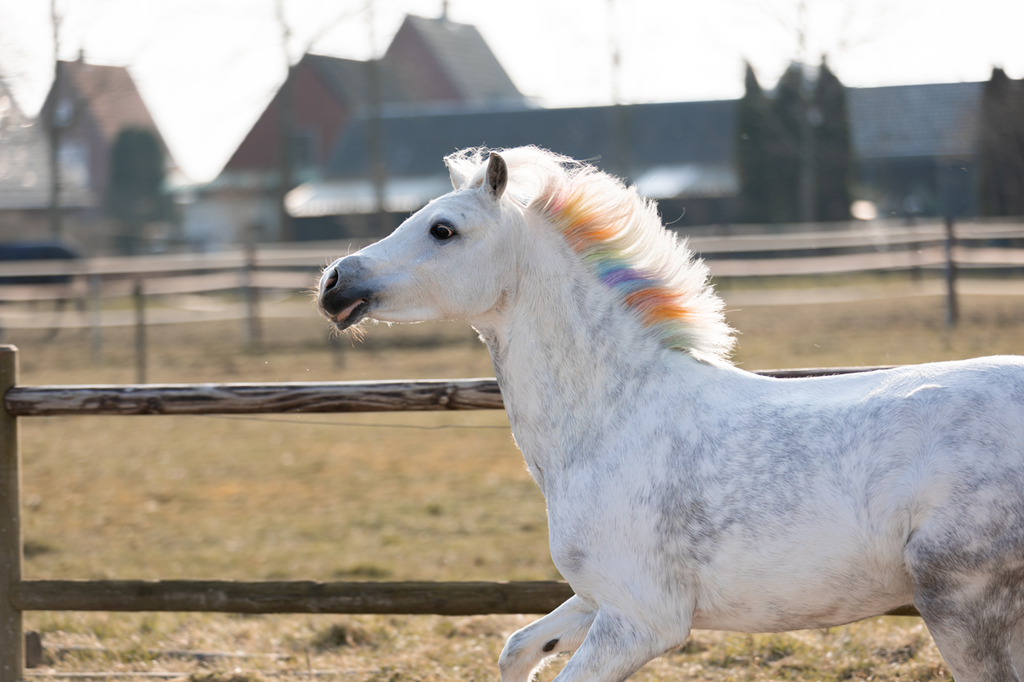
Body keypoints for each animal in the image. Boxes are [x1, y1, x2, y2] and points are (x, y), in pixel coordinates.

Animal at [317, 146, 1024, 682]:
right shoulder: (600, 596)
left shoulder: (643, 620)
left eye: (443, 229)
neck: (614, 421)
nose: (333, 283)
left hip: (959, 603)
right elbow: (517, 647)